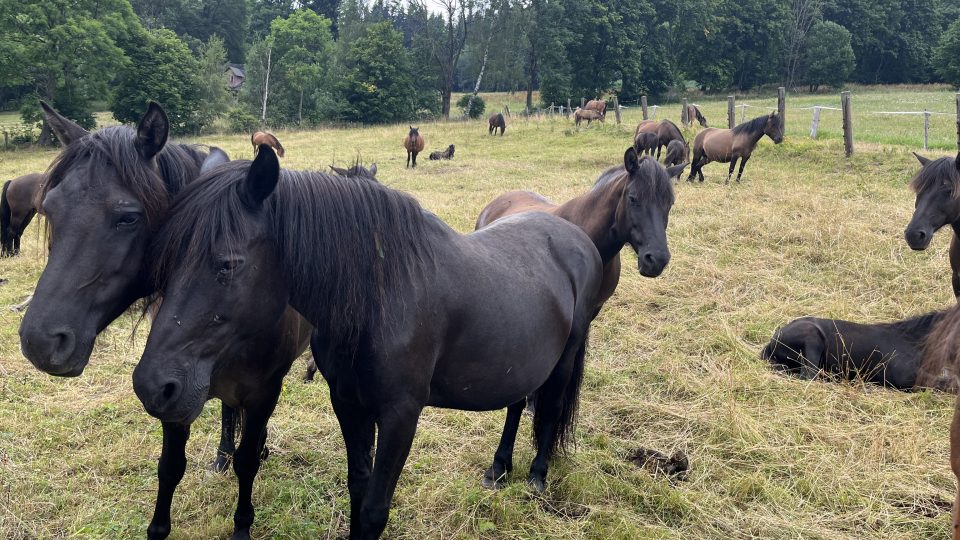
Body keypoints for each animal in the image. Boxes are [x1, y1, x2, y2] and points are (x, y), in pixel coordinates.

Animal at [17, 101, 312, 540]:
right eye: (49, 208)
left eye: (127, 218)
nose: (39, 342)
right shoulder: (173, 392)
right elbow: (171, 467)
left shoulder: (263, 393)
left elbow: (248, 464)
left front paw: (243, 522)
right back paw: (222, 455)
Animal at [133, 146, 600, 536]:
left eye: (228, 265)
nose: (152, 385)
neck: (381, 295)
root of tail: (577, 238)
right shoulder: (349, 403)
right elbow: (358, 489)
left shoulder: (400, 415)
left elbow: (375, 508)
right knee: (518, 404)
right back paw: (499, 469)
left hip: (565, 357)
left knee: (551, 409)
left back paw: (537, 476)